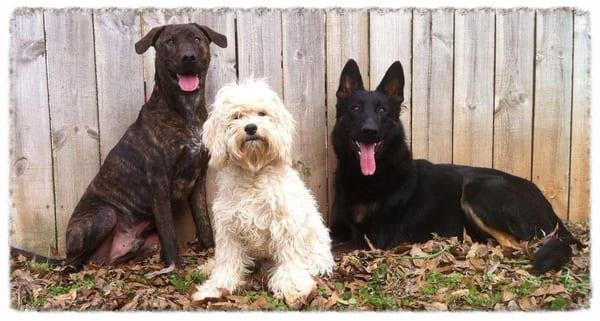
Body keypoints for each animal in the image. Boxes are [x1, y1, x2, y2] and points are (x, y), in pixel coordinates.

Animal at [191, 78, 336, 304]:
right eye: (237, 116)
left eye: (262, 113)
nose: (251, 127)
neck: (254, 172)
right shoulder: (229, 228)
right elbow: (227, 261)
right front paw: (216, 287)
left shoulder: (286, 224)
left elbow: (290, 258)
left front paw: (292, 287)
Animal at [328, 58, 580, 272]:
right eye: (355, 108)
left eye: (382, 110)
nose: (369, 131)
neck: (365, 177)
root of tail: (553, 214)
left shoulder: (371, 239)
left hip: (479, 190)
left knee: (515, 245)